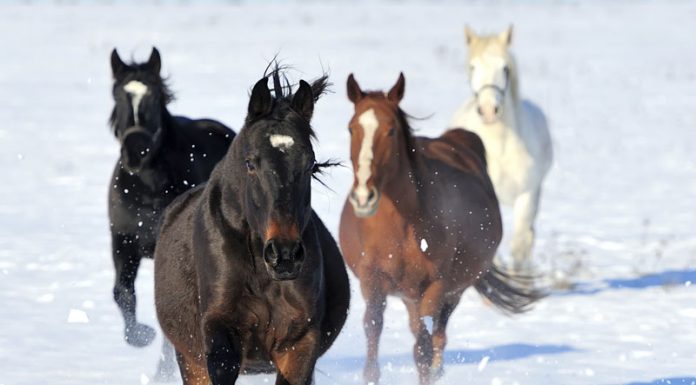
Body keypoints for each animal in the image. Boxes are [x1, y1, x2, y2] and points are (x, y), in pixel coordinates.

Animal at [107, 47, 234, 348]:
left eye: (155, 96)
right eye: (117, 94)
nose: (136, 151)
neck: (147, 189)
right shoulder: (123, 241)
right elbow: (122, 292)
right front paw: (141, 336)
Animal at [152, 70, 348, 384]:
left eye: (310, 164)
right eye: (250, 163)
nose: (284, 255)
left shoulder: (300, 341)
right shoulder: (220, 332)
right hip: (189, 359)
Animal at [340, 73, 540, 384]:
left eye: (391, 131)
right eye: (352, 129)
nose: (363, 197)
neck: (402, 227)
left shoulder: (435, 288)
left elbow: (423, 349)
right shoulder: (372, 282)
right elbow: (373, 337)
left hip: (449, 294)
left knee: (437, 338)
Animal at [452, 25, 556, 272]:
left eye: (505, 68)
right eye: (472, 66)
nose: (489, 110)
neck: (499, 148)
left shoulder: (527, 195)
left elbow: (519, 246)